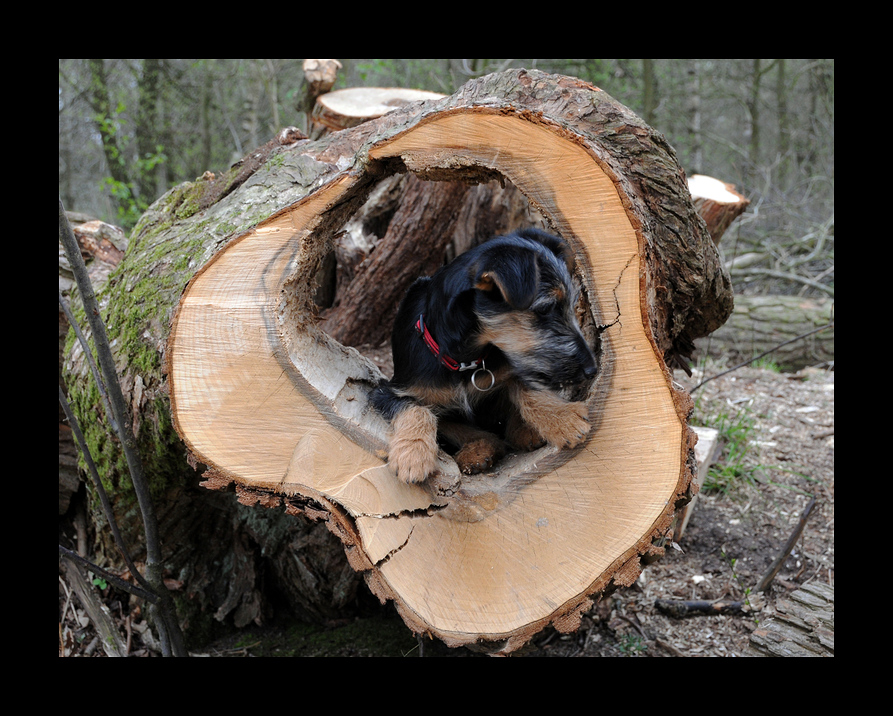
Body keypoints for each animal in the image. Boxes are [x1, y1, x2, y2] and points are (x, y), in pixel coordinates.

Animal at [370, 229, 600, 484]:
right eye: (545, 308)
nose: (592, 369)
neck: (464, 360)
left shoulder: (512, 367)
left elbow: (527, 388)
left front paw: (562, 419)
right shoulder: (386, 392)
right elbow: (415, 409)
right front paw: (412, 454)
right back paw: (477, 453)